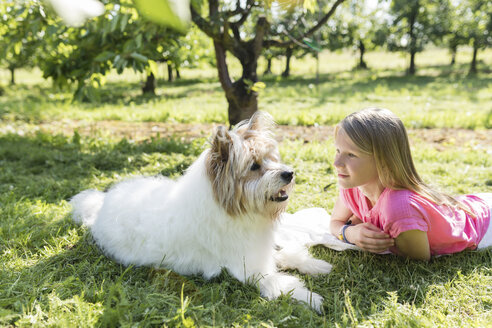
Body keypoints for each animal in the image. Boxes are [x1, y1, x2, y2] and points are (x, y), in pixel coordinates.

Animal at [71, 111, 332, 312]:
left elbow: (286, 253)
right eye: (254, 166)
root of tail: (102, 203)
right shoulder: (250, 268)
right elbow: (282, 283)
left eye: (271, 159)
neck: (233, 209)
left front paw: (315, 265)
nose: (289, 173)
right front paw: (311, 298)